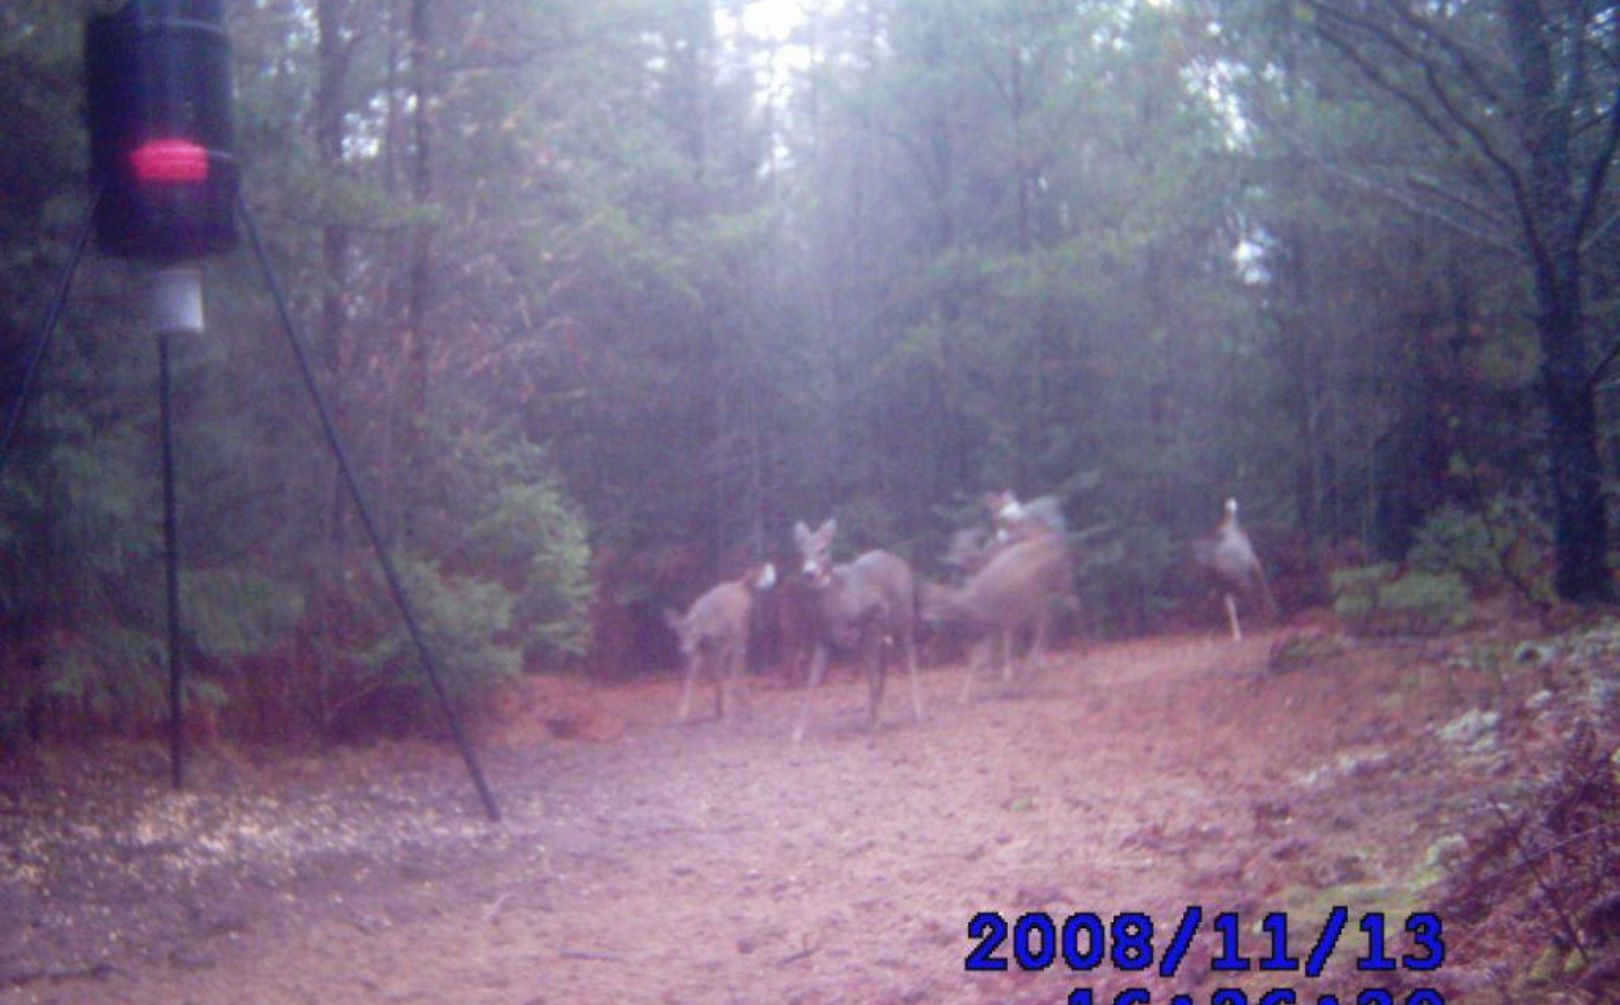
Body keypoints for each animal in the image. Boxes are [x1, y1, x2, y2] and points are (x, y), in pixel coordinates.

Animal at [664, 564, 777, 722]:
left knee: (735, 668)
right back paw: (743, 702)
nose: (683, 651)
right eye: (679, 635)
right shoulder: (700, 652)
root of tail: (741, 584)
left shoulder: (718, 648)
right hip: (734, 641)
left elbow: (718, 677)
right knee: (740, 665)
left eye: (694, 634)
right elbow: (691, 680)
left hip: (739, 634)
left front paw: (720, 709)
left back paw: (736, 705)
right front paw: (682, 714)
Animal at [787, 518, 920, 745]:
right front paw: (798, 732)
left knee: (910, 655)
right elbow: (812, 679)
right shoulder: (824, 638)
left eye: (823, 549)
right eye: (801, 552)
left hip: (905, 617)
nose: (809, 573)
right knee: (885, 665)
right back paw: (879, 715)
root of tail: (899, 562)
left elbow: (871, 673)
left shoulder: (873, 621)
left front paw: (873, 723)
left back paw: (916, 711)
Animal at [920, 525, 1069, 700]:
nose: (926, 618)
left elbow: (997, 653)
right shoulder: (999, 625)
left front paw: (1010, 681)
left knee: (1053, 617)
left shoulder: (1003, 620)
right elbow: (981, 660)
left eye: (940, 603)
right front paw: (964, 696)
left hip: (1052, 590)